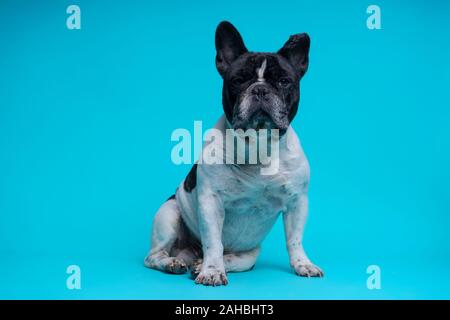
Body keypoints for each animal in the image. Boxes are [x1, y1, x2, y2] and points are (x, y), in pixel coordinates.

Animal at [145, 21, 324, 286]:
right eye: (238, 80)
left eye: (284, 81)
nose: (260, 90)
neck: (258, 147)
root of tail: (188, 253)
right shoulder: (211, 202)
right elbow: (213, 242)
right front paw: (211, 271)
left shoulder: (297, 202)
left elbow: (295, 239)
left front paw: (303, 264)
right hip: (169, 214)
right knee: (154, 256)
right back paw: (174, 263)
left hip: (250, 254)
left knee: (234, 260)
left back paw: (200, 265)